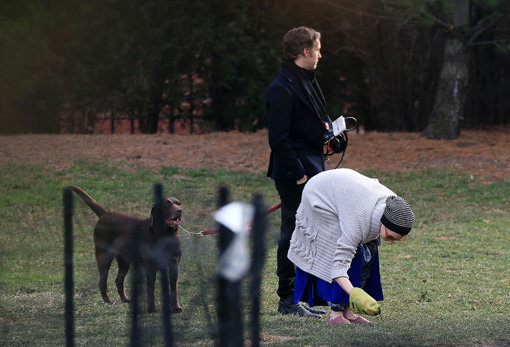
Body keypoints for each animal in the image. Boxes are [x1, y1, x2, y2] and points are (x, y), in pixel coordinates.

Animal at [68, 186, 182, 314]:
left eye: (178, 203)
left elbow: (174, 289)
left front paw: (176, 307)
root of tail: (105, 214)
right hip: (104, 257)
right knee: (102, 281)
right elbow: (150, 290)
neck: (166, 235)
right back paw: (108, 300)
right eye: (167, 204)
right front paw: (151, 308)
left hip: (125, 261)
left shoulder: (174, 266)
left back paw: (125, 299)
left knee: (118, 280)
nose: (179, 211)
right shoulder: (151, 268)